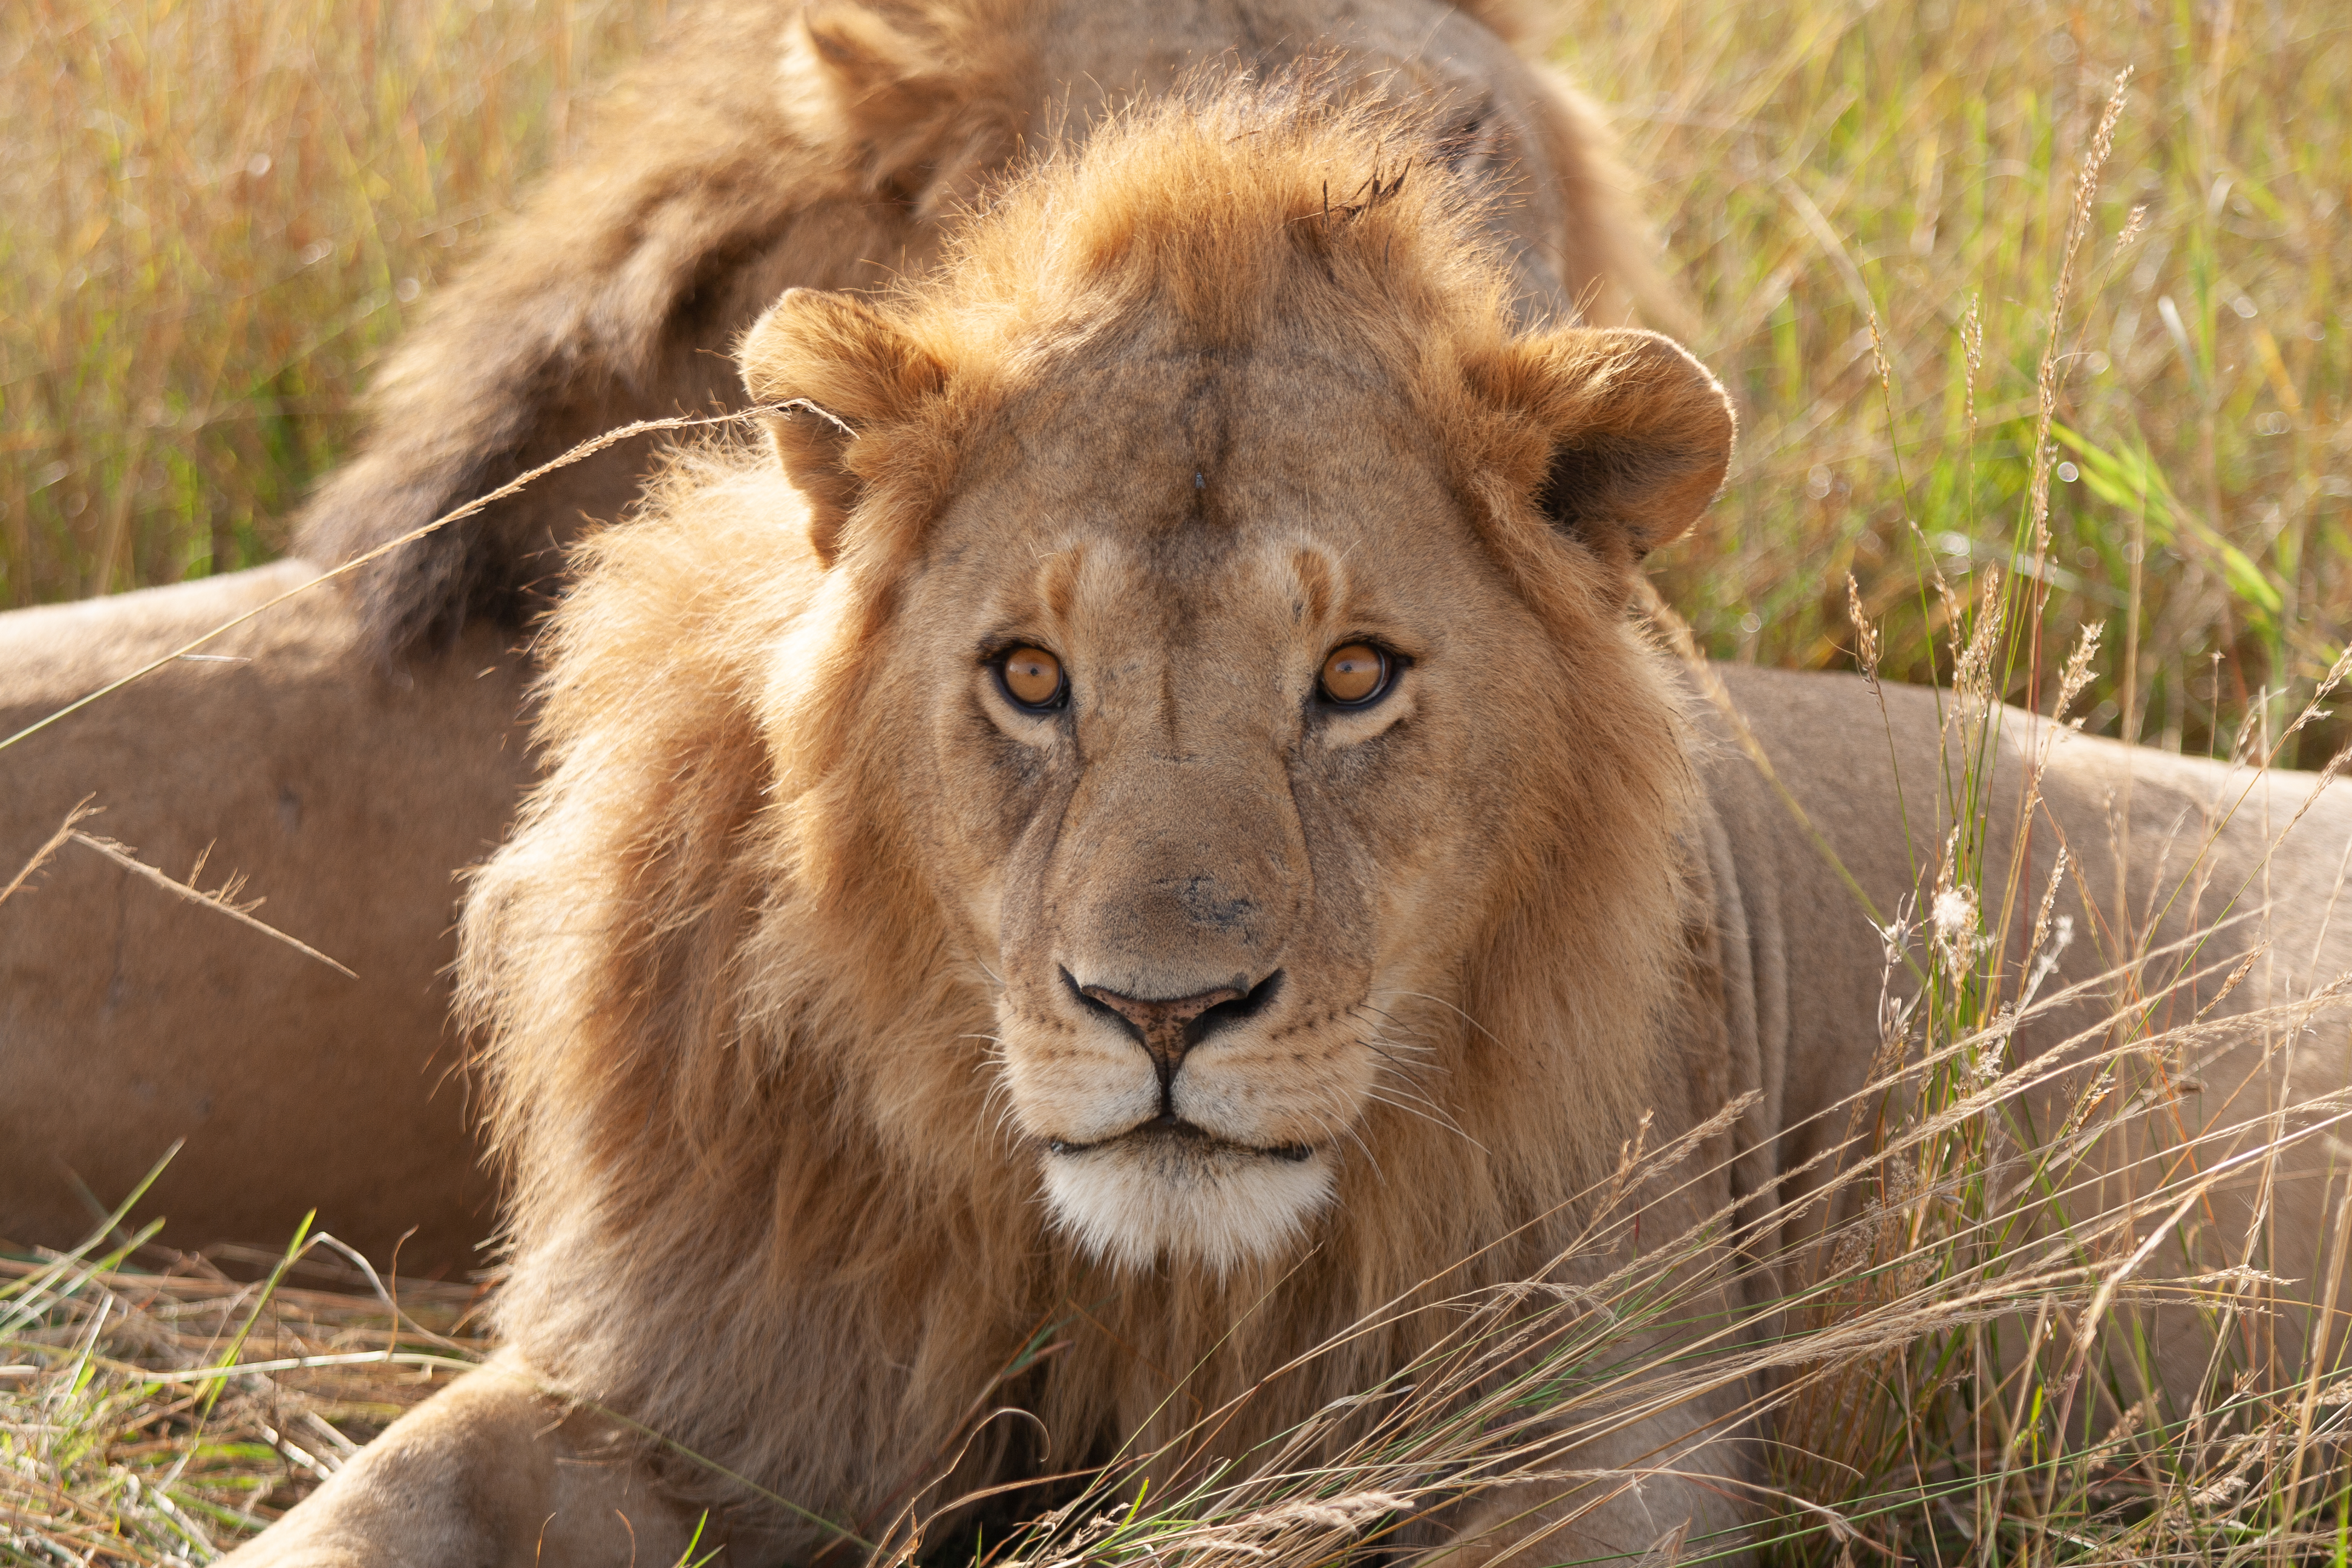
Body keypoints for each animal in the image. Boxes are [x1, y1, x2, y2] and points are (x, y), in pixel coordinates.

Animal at [221, 82, 2352, 1568]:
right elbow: (382, 1494)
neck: (1130, 1292)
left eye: (1352, 677)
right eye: (1029, 677)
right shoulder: (702, 1374)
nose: (1166, 1013)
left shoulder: (1599, 1432)